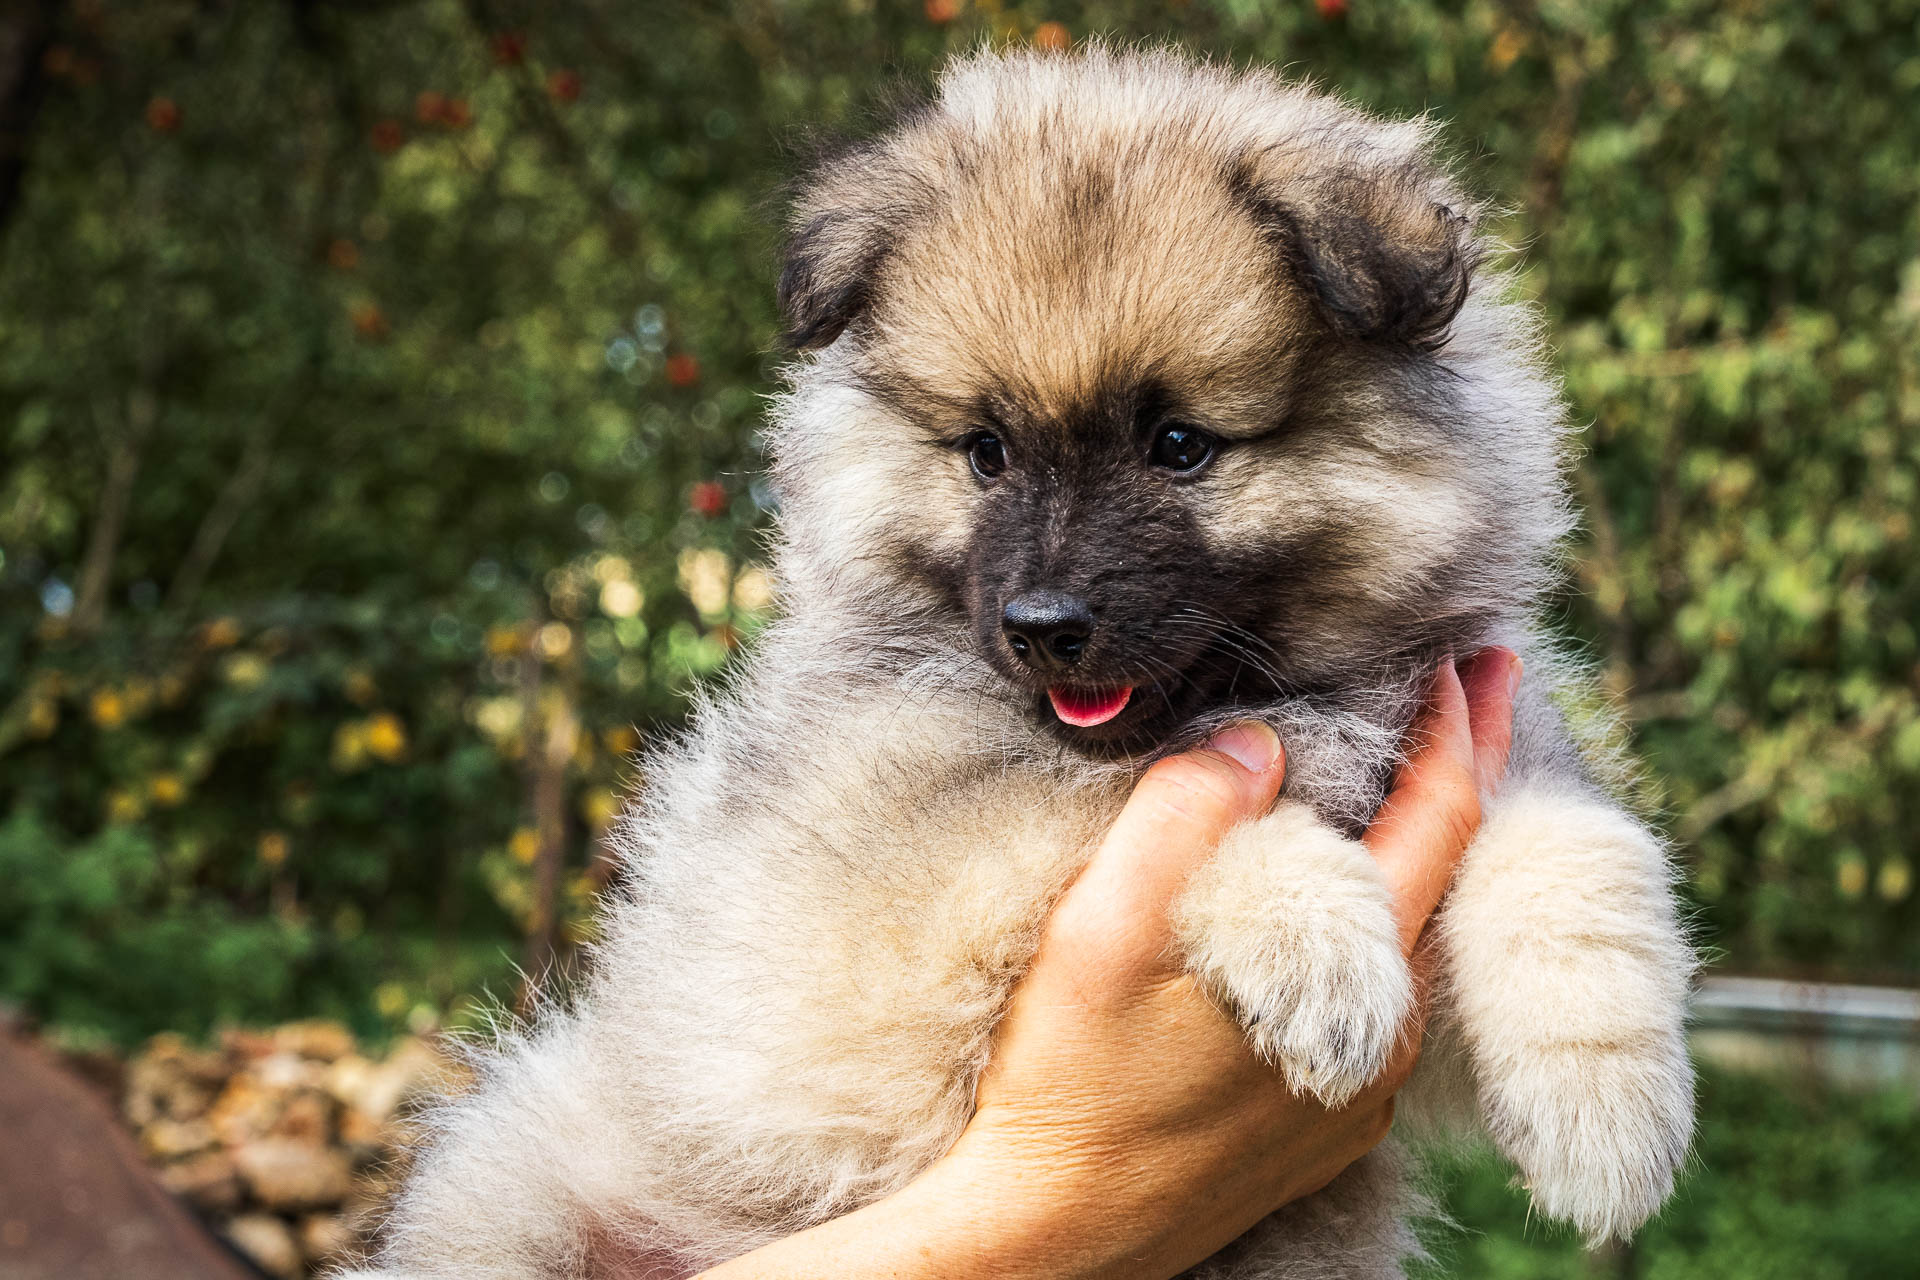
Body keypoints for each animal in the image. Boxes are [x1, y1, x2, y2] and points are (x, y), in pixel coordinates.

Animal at [349, 42, 1697, 1280]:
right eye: (986, 450)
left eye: (1178, 444)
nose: (1044, 625)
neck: (1283, 687)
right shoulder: (916, 867)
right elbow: (1138, 793)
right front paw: (1316, 943)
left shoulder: (1476, 728)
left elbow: (1578, 844)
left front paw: (1607, 1108)